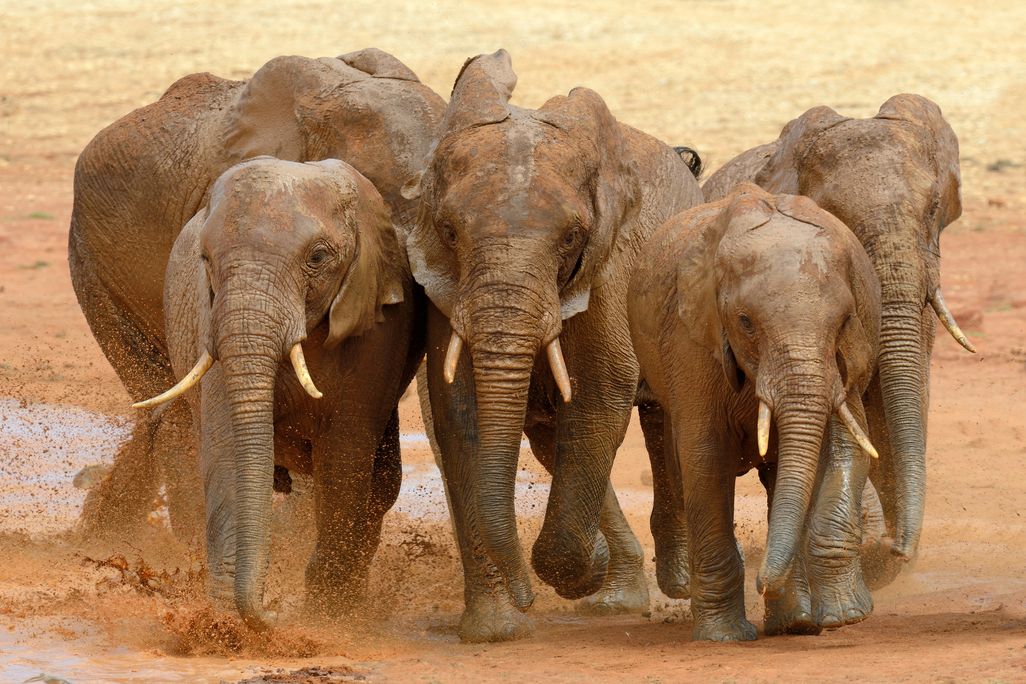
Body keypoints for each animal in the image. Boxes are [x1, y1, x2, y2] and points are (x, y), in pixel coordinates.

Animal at [133, 156, 418, 628]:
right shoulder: (211, 321)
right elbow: (228, 449)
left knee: (379, 484)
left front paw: (326, 614)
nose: (271, 611)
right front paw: (224, 625)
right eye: (205, 259)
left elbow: (345, 456)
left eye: (318, 258)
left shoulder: (377, 328)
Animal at [401, 49, 704, 641]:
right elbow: (460, 410)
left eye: (571, 238)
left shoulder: (609, 267)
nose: (524, 600)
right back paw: (615, 596)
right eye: (449, 232)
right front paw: (497, 628)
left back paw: (677, 583)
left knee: (663, 419)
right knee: (551, 440)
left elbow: (602, 392)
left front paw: (577, 570)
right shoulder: (447, 289)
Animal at [629, 184, 883, 641]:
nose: (763, 581)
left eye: (844, 321)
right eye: (745, 322)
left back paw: (795, 622)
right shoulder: (692, 340)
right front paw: (724, 637)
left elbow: (847, 446)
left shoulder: (848, 357)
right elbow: (705, 457)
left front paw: (844, 616)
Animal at [702, 94, 974, 585]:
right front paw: (876, 549)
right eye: (835, 218)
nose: (899, 548)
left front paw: (886, 555)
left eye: (933, 209)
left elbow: (897, 400)